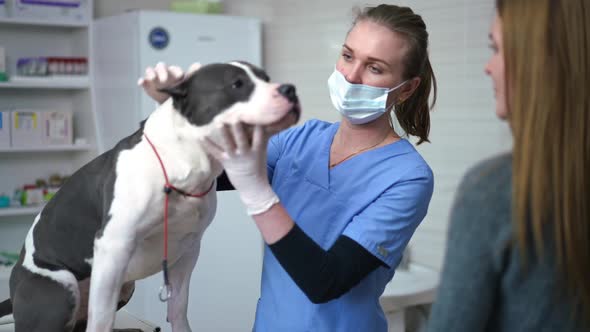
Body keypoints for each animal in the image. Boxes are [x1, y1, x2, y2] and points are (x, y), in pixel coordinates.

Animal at [0, 61, 302, 330]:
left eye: (267, 78)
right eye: (237, 84)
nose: (289, 89)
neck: (181, 162)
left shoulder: (188, 251)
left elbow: (178, 308)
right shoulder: (114, 247)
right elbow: (102, 321)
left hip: (121, 286)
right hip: (62, 287)